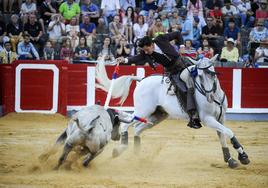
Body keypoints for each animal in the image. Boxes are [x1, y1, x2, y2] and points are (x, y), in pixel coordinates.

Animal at [95, 55, 250, 167]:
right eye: (199, 76)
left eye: (212, 74)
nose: (210, 97)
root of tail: (142, 80)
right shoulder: (208, 119)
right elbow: (229, 132)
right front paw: (243, 156)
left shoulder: (220, 118)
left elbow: (222, 135)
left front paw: (230, 160)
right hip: (142, 111)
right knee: (125, 124)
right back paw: (120, 149)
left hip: (157, 116)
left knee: (138, 129)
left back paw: (137, 154)